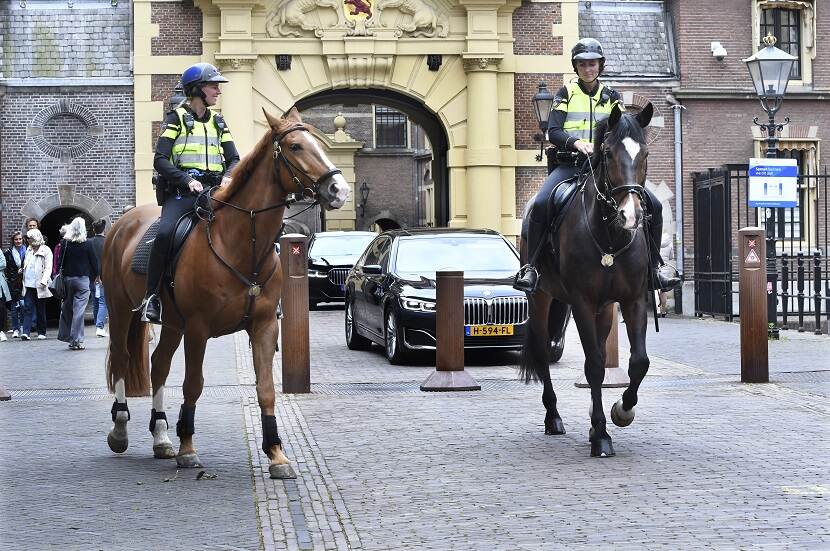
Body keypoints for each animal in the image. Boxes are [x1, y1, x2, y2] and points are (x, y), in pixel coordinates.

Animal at [103, 106, 352, 478]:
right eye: (295, 146)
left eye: (316, 143)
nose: (339, 189)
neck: (239, 244)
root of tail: (122, 224)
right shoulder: (198, 328)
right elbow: (193, 384)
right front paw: (188, 448)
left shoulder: (264, 326)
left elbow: (266, 389)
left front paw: (276, 453)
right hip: (121, 311)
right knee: (122, 359)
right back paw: (120, 431)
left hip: (172, 323)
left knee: (158, 365)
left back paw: (161, 437)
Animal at [520, 102, 656, 458]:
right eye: (607, 153)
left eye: (645, 153)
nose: (631, 215)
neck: (608, 238)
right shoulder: (582, 301)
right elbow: (594, 365)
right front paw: (602, 437)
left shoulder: (632, 300)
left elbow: (638, 361)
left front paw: (621, 412)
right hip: (541, 298)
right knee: (543, 354)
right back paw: (553, 418)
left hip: (604, 311)